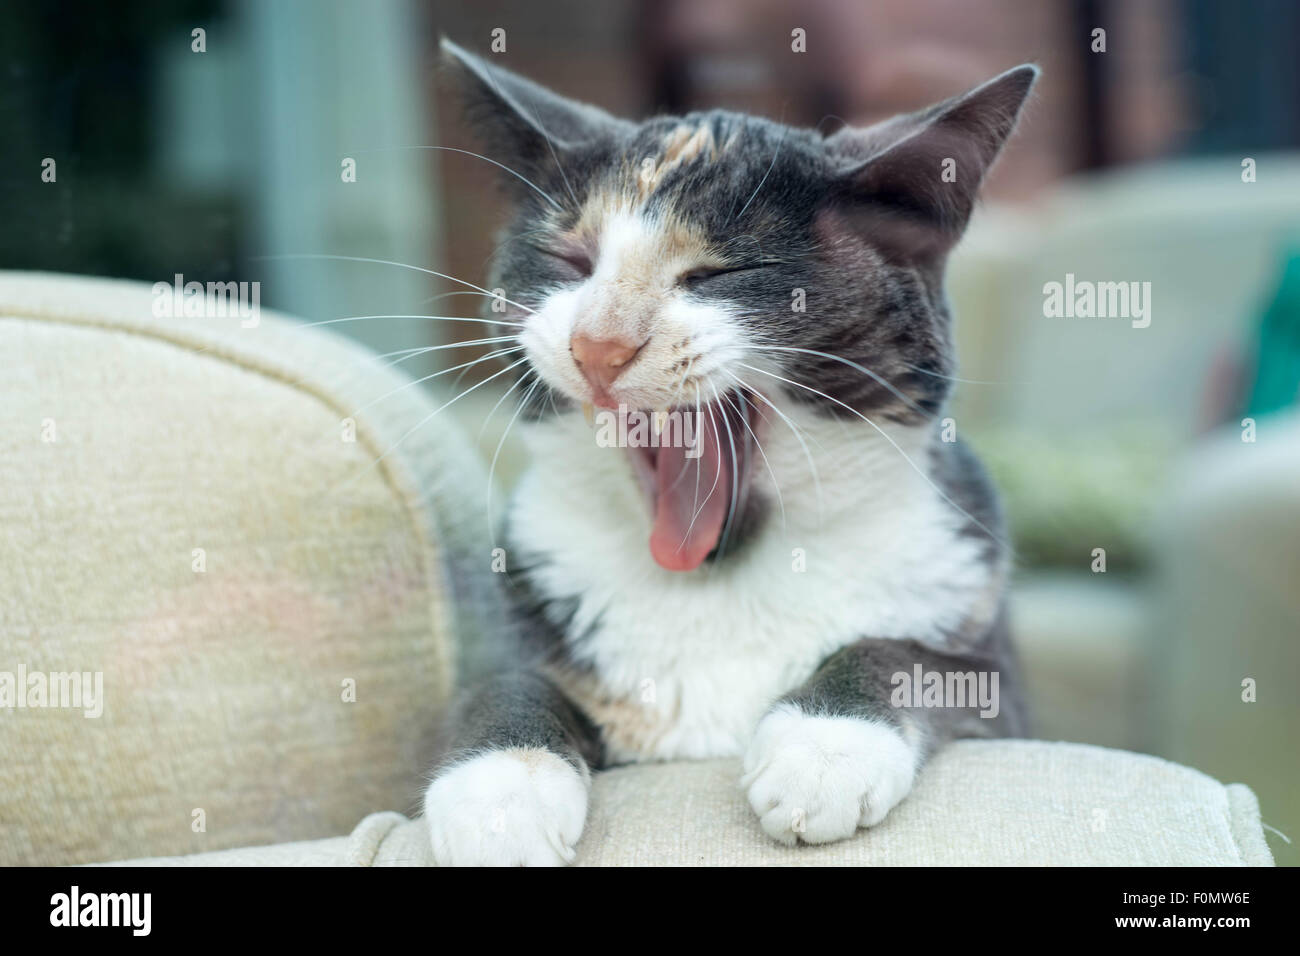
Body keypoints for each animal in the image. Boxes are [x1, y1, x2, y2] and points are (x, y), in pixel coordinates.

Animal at [423, 41, 1034, 868]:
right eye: (568, 258)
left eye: (724, 272)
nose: (599, 344)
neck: (719, 588)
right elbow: (505, 683)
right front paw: (500, 793)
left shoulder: (991, 656)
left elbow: (915, 660)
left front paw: (826, 746)